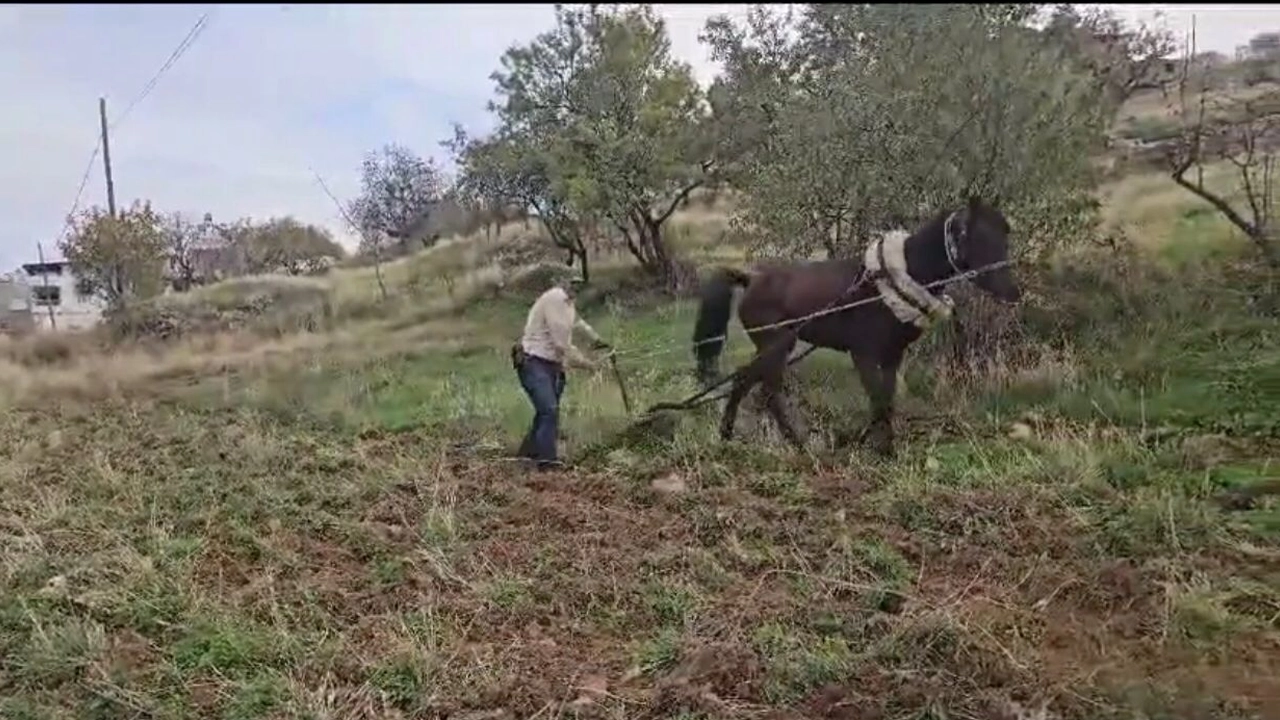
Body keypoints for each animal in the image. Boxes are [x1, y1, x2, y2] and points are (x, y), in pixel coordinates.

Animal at [691, 196, 1018, 453]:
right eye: (978, 237)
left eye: (1004, 237)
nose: (1014, 292)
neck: (893, 279)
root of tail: (750, 279)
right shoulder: (864, 354)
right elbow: (877, 400)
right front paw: (879, 450)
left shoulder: (892, 356)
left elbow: (885, 401)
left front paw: (877, 445)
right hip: (776, 346)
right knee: (768, 392)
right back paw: (799, 444)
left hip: (772, 348)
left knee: (743, 380)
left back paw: (728, 435)